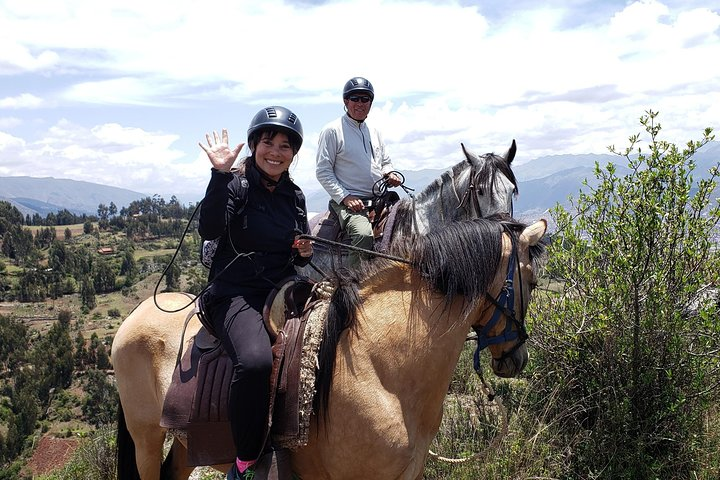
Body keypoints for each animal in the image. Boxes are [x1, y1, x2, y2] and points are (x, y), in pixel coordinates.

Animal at [112, 218, 544, 480]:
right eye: (533, 282)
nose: (517, 358)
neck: (384, 371)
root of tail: (135, 316)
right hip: (146, 438)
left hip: (187, 443)